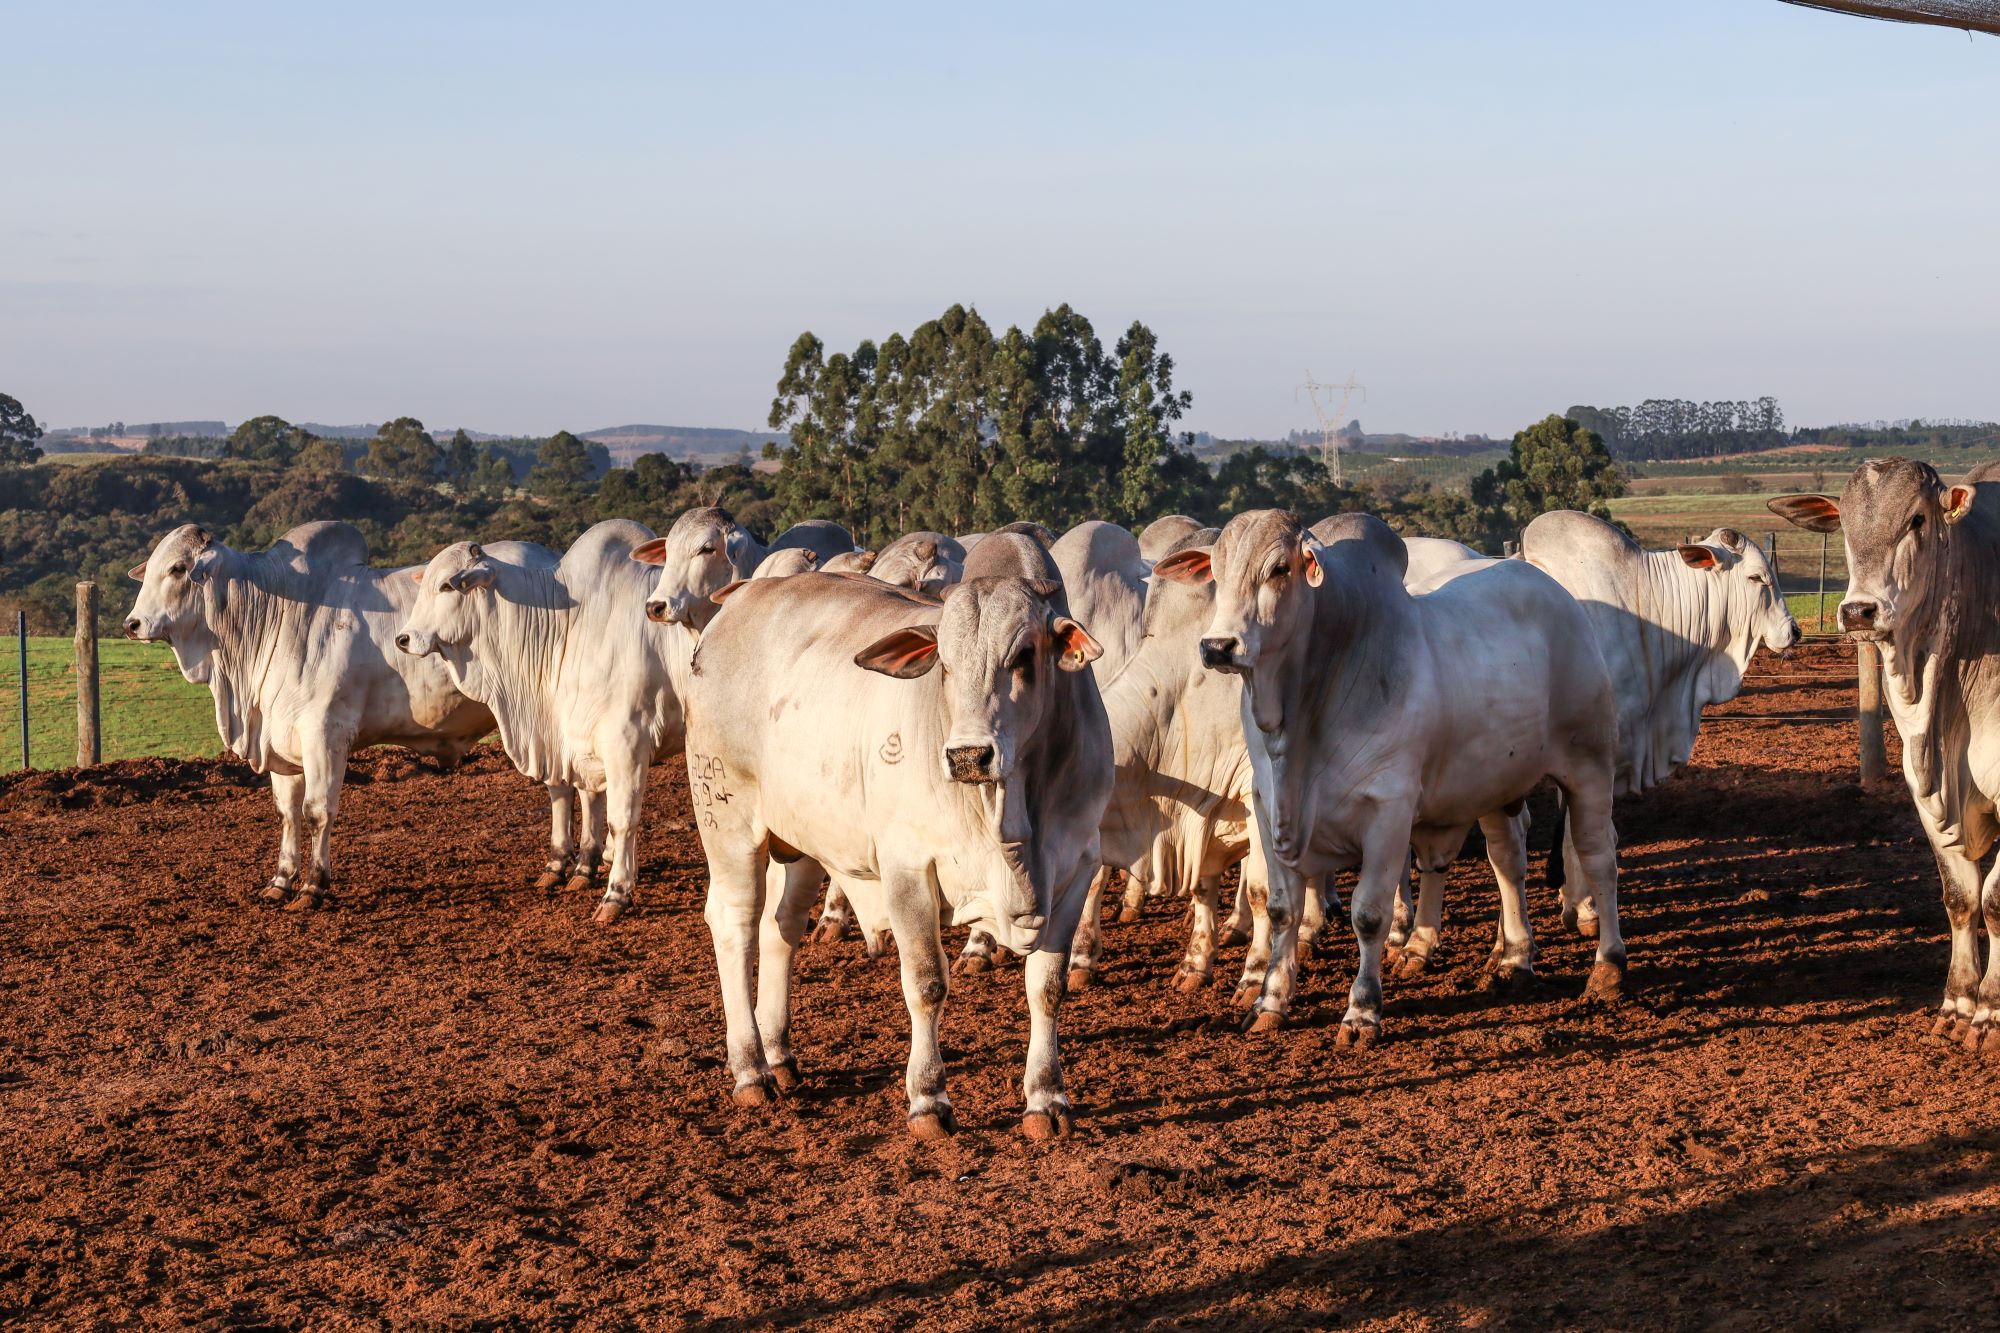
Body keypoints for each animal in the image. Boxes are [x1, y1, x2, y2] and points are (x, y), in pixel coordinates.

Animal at [121, 524, 500, 908]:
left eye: (178, 569)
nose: (132, 624)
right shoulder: (280, 741)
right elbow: (287, 813)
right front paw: (281, 880)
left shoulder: (324, 734)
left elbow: (317, 811)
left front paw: (314, 885)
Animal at [390, 520, 688, 924]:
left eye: (447, 586)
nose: (403, 639)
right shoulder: (569, 736)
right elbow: (572, 795)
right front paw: (574, 867)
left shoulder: (625, 742)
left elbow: (621, 817)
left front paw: (616, 890)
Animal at [684, 568, 1120, 1128]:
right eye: (944, 664)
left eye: (1024, 654)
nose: (968, 756)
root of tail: (742, 598)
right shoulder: (908, 868)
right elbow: (927, 982)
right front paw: (928, 1098)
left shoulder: (1075, 869)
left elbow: (1046, 987)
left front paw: (1047, 1097)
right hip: (728, 820)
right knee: (735, 924)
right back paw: (751, 1069)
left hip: (800, 841)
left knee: (780, 926)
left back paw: (778, 1054)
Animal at [1168, 504, 1632, 1032]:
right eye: (1217, 572)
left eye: (1280, 568)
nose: (1217, 646)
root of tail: (1550, 587)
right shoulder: (1269, 807)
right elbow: (1284, 908)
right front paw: (1269, 1001)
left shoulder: (1387, 811)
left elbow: (1369, 914)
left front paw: (1362, 1011)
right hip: (1496, 786)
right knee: (1506, 862)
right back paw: (1514, 958)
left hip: (1589, 764)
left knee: (1599, 857)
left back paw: (1608, 966)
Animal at [1776, 462, 2000, 1040]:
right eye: (1844, 523)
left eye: (1917, 519)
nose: (1858, 610)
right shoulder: (1925, 799)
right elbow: (1961, 898)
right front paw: (1958, 1002)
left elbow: (1994, 901)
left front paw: (1990, 1010)